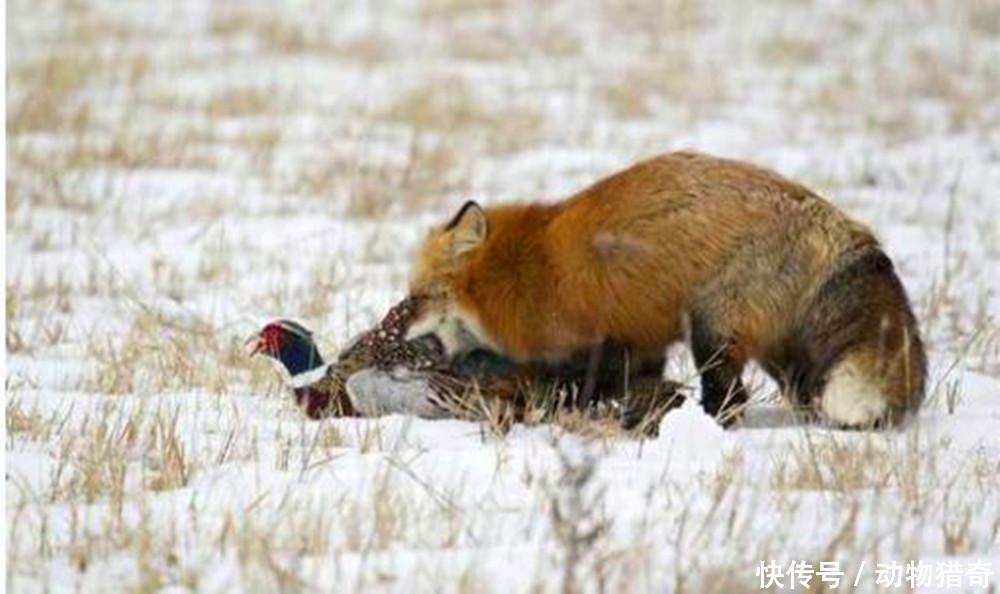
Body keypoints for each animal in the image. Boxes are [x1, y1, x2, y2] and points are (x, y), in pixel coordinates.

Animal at [402, 149, 924, 426]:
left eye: (417, 298)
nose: (401, 335)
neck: (521, 272)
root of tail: (834, 219)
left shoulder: (594, 340)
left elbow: (571, 386)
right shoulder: (638, 339)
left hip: (712, 330)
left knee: (730, 399)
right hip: (779, 349)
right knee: (803, 393)